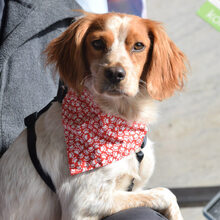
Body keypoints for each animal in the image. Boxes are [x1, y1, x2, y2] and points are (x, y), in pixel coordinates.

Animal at [0, 12, 187, 220]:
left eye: (139, 45)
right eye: (97, 43)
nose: (115, 73)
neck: (119, 116)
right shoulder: (82, 203)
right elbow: (165, 193)